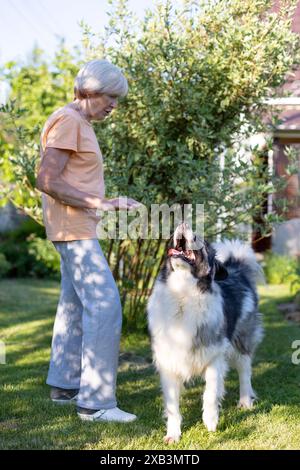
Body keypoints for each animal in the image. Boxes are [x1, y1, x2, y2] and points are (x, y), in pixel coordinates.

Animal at [147, 222, 262, 442]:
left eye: (200, 239)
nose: (183, 223)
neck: (183, 294)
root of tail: (237, 270)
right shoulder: (169, 364)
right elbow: (173, 406)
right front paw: (173, 434)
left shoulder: (214, 358)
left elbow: (210, 394)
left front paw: (210, 421)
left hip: (241, 340)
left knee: (245, 371)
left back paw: (245, 400)